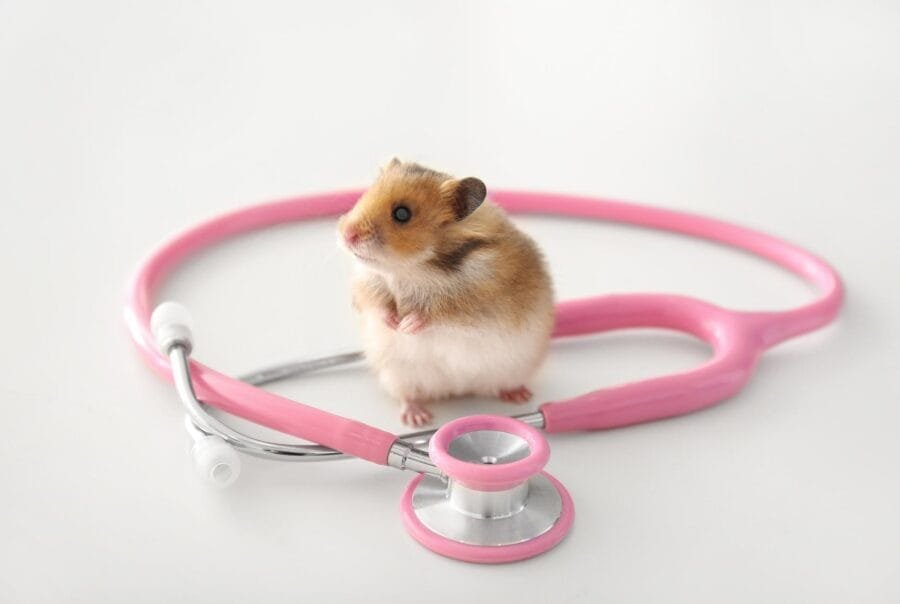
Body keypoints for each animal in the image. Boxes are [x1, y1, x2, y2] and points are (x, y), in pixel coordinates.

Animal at [337, 159, 554, 427]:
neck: (412, 268)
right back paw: (416, 419)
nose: (346, 234)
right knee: (408, 396)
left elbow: (439, 314)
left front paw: (407, 325)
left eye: (402, 214)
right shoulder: (368, 283)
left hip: (515, 368)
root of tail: (456, 390)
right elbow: (376, 304)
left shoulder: (474, 299)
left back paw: (520, 396)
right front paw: (394, 323)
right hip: (397, 375)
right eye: (365, 195)